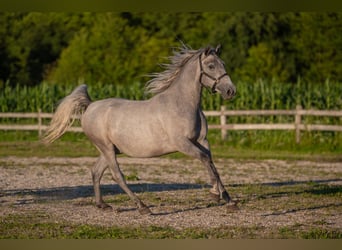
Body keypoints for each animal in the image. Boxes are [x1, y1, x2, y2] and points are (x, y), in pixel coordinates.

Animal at [42, 45, 236, 215]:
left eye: (223, 63)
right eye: (211, 66)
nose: (230, 91)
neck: (183, 104)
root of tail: (90, 106)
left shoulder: (202, 140)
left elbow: (212, 163)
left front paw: (228, 200)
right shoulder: (183, 143)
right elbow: (205, 159)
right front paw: (215, 194)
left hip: (110, 150)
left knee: (96, 171)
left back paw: (102, 205)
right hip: (106, 148)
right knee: (117, 175)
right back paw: (143, 207)